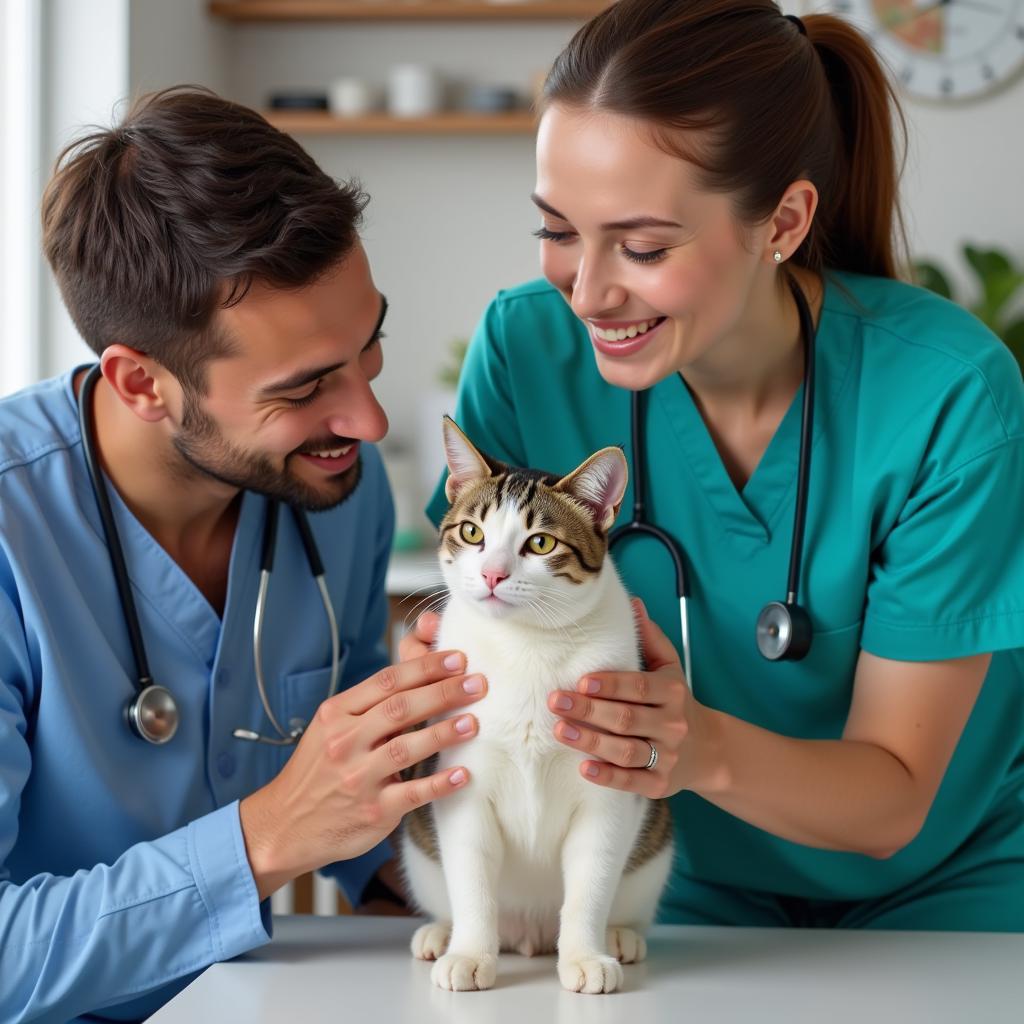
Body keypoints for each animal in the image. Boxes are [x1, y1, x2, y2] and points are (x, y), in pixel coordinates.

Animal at [399, 415, 671, 991]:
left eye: (541, 543)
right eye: (472, 532)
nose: (493, 574)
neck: (527, 644)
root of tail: (529, 935)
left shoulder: (606, 789)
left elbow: (591, 882)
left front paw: (586, 955)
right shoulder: (463, 781)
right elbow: (472, 880)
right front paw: (471, 952)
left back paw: (619, 935)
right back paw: (441, 933)